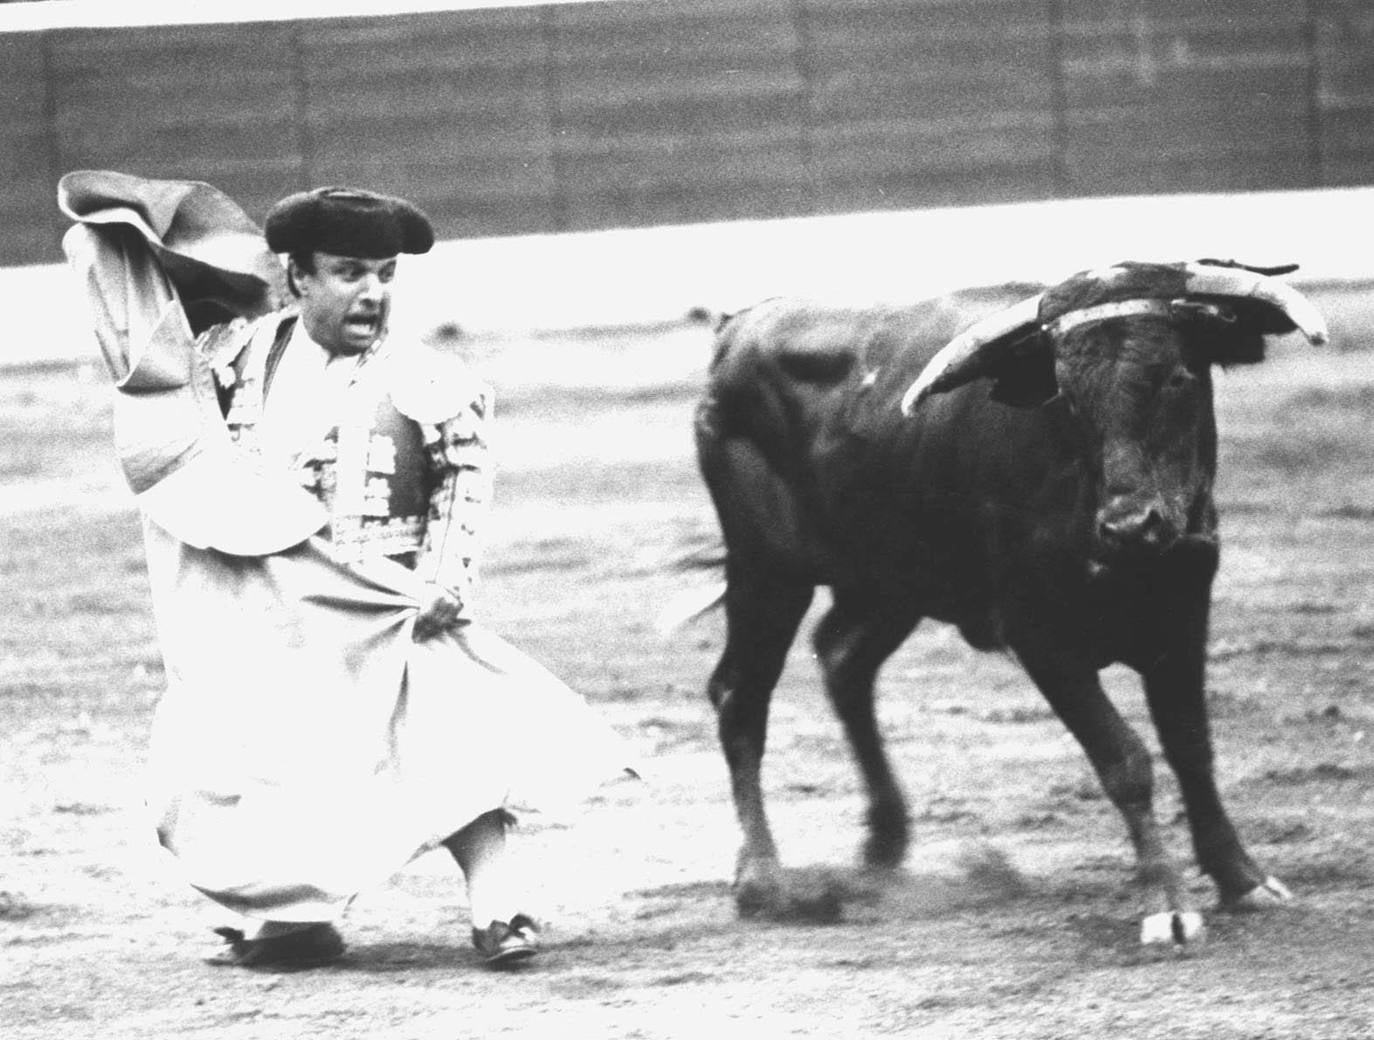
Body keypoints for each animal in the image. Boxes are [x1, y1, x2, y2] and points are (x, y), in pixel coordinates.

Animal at [697, 259, 1330, 939]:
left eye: (1180, 377)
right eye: (1068, 396)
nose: (1131, 525)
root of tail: (739, 326)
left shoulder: (1184, 613)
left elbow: (1192, 748)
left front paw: (1244, 879)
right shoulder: (1040, 636)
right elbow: (1124, 759)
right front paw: (1168, 903)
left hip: (890, 582)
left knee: (842, 659)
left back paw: (884, 842)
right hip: (766, 571)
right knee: (740, 694)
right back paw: (764, 882)